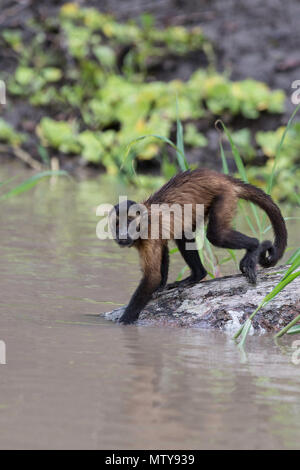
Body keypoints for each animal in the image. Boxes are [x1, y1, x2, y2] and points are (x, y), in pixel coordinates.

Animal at [109, 168, 288, 324]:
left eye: (129, 222)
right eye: (117, 225)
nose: (122, 234)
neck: (143, 224)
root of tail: (222, 177)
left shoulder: (149, 234)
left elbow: (152, 277)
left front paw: (124, 320)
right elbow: (163, 253)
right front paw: (159, 288)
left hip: (224, 195)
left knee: (216, 235)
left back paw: (254, 246)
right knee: (184, 235)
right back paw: (197, 275)